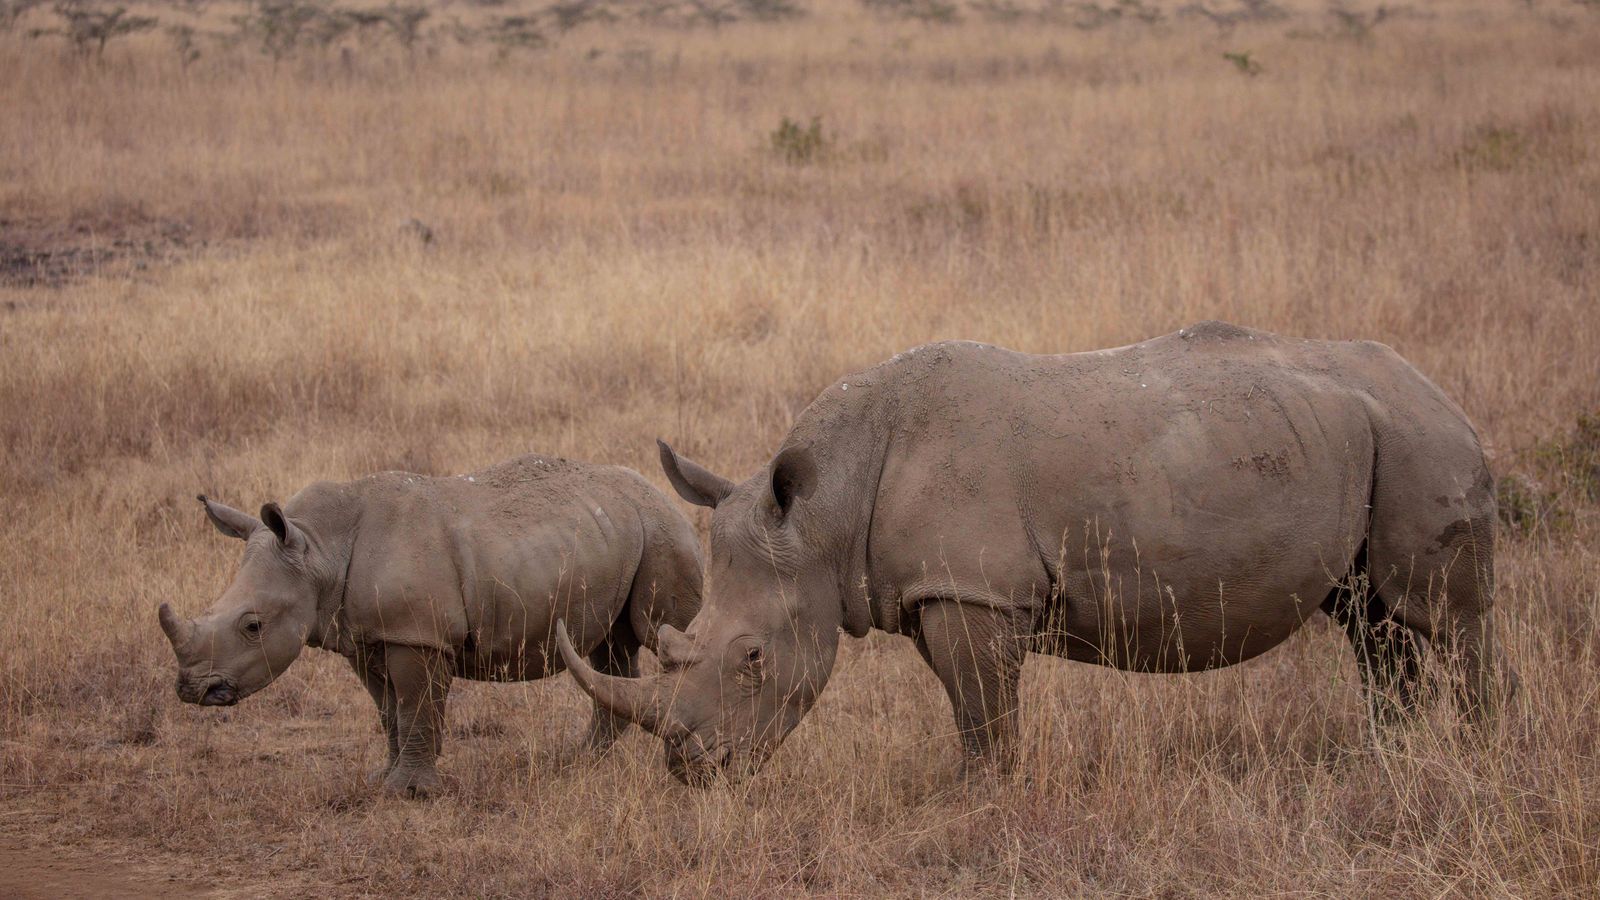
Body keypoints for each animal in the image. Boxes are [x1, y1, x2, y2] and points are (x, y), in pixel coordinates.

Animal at [159, 454, 702, 797]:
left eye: (252, 626)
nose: (192, 690)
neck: (318, 549)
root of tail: (658, 491)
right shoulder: (365, 636)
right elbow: (390, 712)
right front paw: (384, 779)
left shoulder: (416, 634)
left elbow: (416, 706)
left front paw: (411, 792)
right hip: (612, 534)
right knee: (610, 652)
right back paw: (577, 762)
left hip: (662, 532)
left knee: (665, 631)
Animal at [559, 322, 1514, 785]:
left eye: (753, 658)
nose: (689, 770)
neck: (824, 514)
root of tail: (1446, 395)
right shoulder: (943, 591)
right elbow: (969, 704)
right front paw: (974, 786)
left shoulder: (973, 590)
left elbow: (984, 710)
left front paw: (975, 797)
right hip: (1362, 437)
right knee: (1371, 622)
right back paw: (1387, 759)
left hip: (1422, 442)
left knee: (1444, 617)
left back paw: (1478, 752)